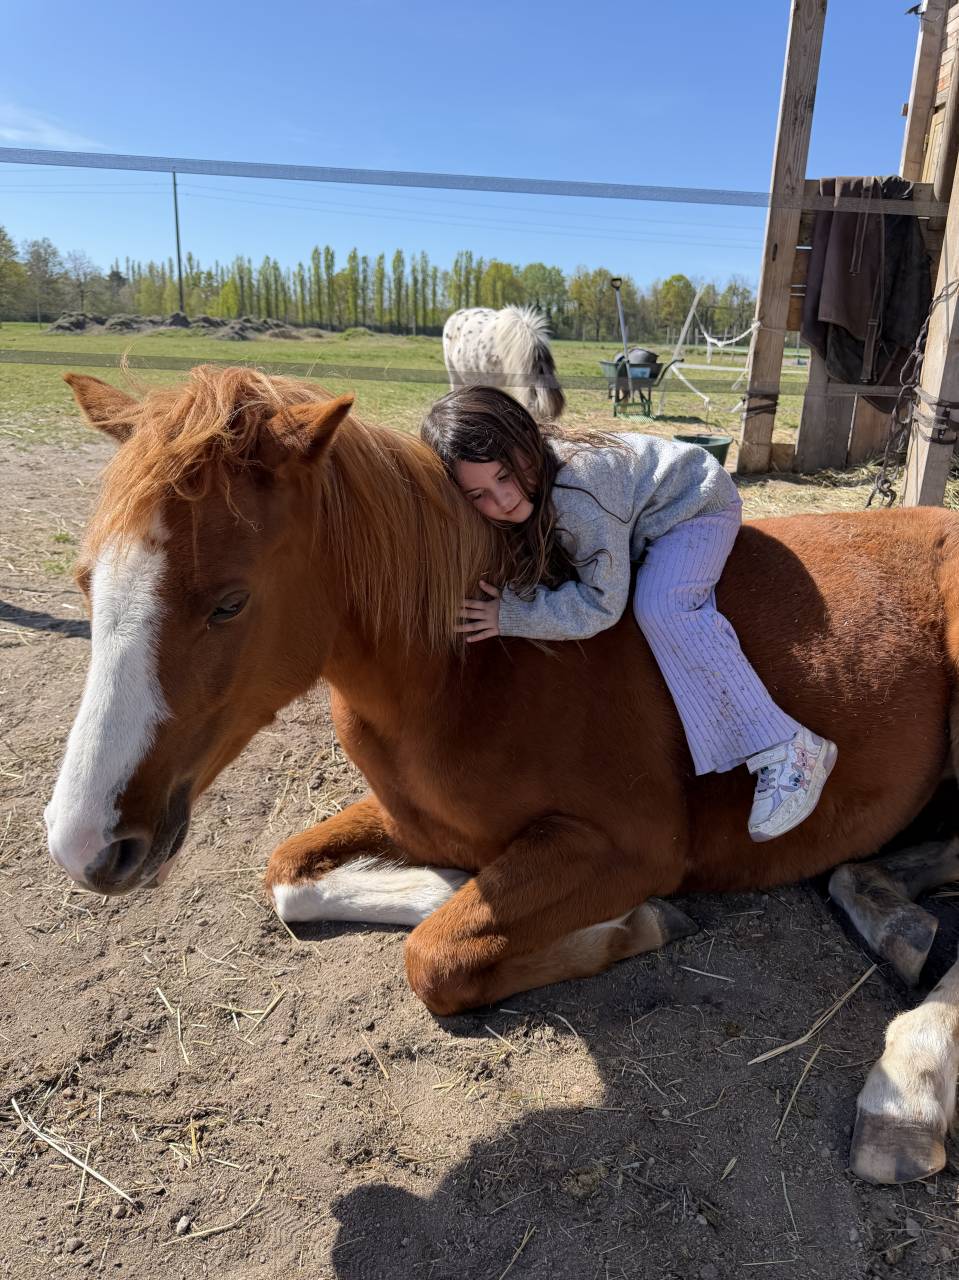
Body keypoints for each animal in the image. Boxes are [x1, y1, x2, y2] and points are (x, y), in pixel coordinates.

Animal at [46, 365, 959, 1187]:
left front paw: (624, 925)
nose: (83, 842)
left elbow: (436, 956)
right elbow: (290, 879)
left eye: (230, 603)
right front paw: (443, 884)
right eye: (87, 581)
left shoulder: (629, 847)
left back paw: (903, 1095)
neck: (471, 672)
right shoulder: (407, 819)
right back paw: (894, 922)